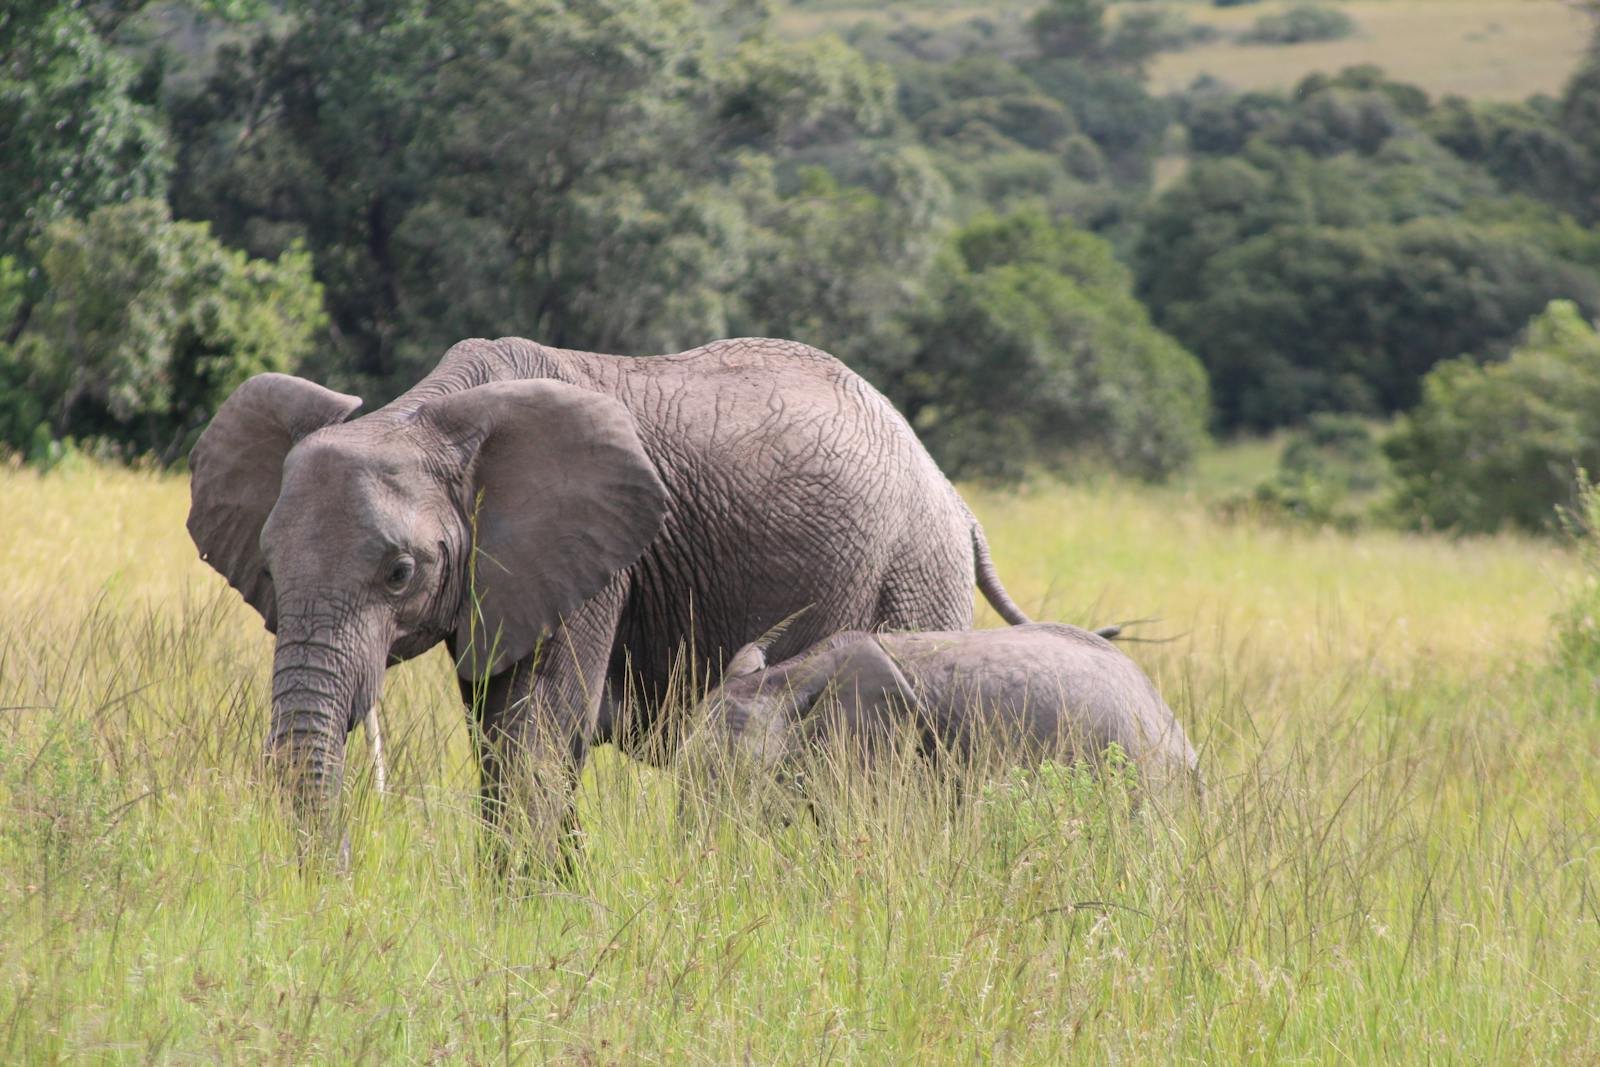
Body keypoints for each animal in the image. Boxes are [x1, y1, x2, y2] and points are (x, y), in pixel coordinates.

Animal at [187, 335, 1032, 868]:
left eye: (399, 573)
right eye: (267, 567)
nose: (341, 878)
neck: (427, 414)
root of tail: (958, 502)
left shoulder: (592, 560)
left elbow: (538, 725)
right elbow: (499, 729)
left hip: (913, 575)